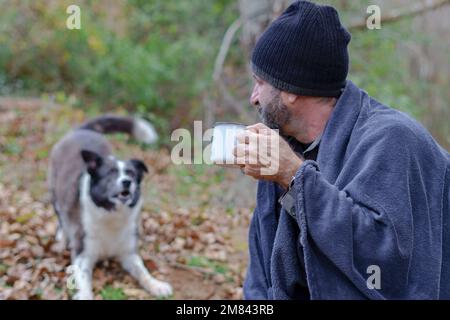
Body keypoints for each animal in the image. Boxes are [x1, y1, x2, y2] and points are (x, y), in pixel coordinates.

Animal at [48, 115, 172, 300]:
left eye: (131, 173)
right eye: (111, 173)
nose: (127, 182)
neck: (112, 215)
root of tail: (81, 131)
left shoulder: (129, 253)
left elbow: (142, 270)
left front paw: (156, 285)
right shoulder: (82, 255)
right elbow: (84, 279)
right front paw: (85, 295)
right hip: (54, 193)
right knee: (61, 219)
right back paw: (61, 239)